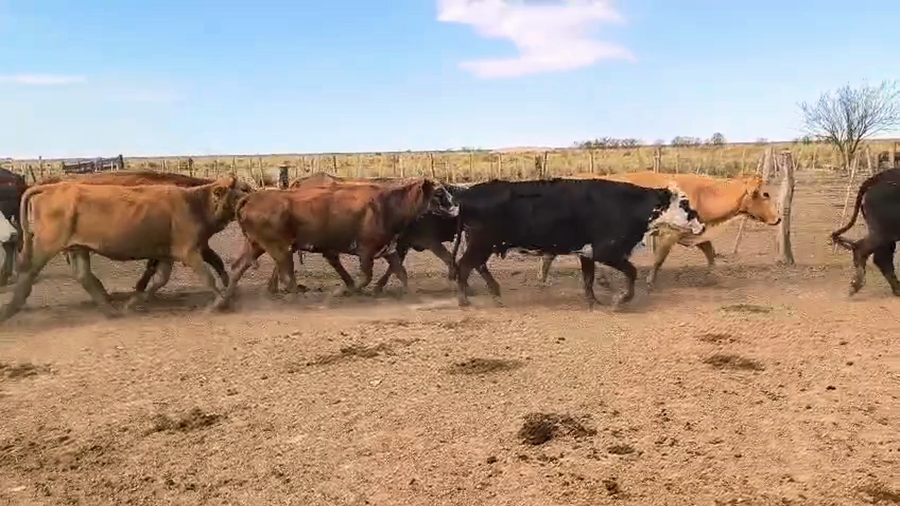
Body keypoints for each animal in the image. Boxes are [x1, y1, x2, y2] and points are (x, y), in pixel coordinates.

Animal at [209, 177, 456, 311]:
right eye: (438, 193)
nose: (455, 207)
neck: (385, 205)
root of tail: (252, 197)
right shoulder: (366, 249)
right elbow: (365, 277)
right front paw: (341, 292)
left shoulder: (388, 248)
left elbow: (401, 272)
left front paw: (414, 296)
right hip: (279, 248)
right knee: (287, 276)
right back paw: (301, 302)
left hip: (256, 245)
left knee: (237, 268)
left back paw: (220, 303)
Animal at [447, 178, 706, 309]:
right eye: (684, 203)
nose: (701, 224)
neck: (626, 204)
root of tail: (467, 193)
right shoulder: (606, 251)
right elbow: (631, 272)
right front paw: (620, 300)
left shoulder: (587, 253)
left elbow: (588, 279)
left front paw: (594, 302)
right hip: (481, 243)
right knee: (465, 266)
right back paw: (464, 300)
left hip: (482, 244)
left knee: (477, 266)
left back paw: (495, 295)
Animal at [538, 171, 781, 290]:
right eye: (766, 194)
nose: (779, 218)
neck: (704, 193)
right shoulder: (668, 235)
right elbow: (659, 259)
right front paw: (650, 282)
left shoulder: (696, 233)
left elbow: (710, 253)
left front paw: (712, 277)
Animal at [830, 167, 900, 297]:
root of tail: (878, 177)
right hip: (886, 231)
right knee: (865, 249)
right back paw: (856, 284)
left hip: (884, 233)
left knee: (881, 257)